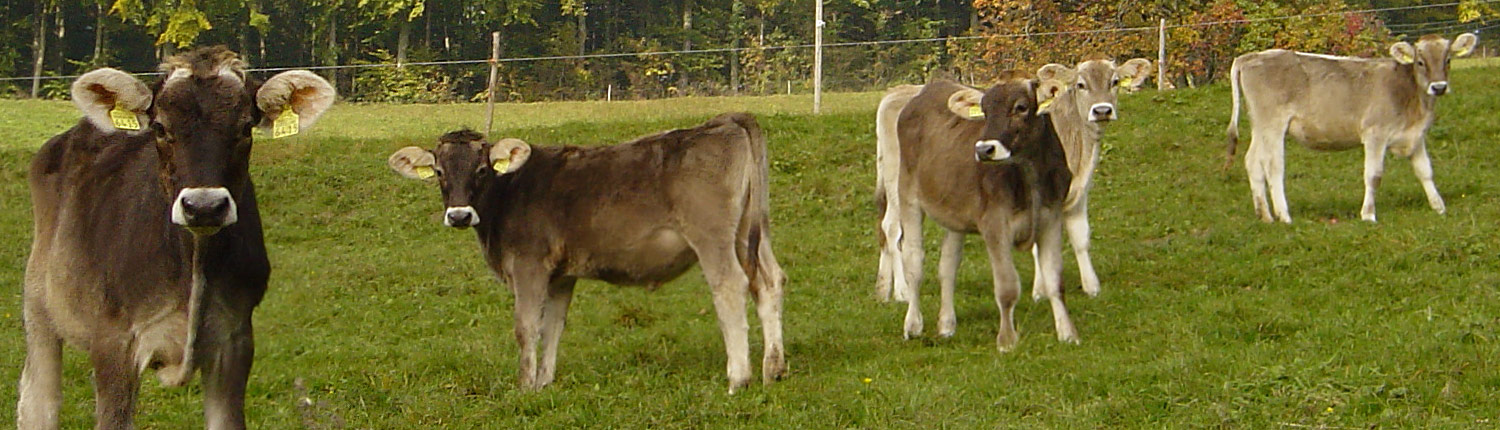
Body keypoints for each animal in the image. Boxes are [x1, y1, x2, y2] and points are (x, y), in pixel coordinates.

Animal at [18, 45, 334, 428]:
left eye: (246, 127)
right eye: (159, 127)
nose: (204, 206)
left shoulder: (236, 339)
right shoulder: (113, 341)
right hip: (38, 302)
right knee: (39, 402)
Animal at [387, 113, 786, 395]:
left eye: (482, 168)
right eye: (439, 171)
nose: (459, 215)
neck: (509, 192)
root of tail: (722, 122)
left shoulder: (529, 266)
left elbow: (526, 327)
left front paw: (524, 387)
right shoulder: (561, 275)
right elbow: (552, 326)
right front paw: (544, 383)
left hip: (712, 237)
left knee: (730, 287)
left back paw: (739, 378)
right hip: (752, 233)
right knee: (769, 282)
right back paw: (773, 369)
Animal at [876, 58, 1152, 302]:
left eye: (1114, 81)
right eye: (1080, 84)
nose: (1102, 110)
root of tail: (896, 94)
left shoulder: (1079, 192)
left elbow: (1081, 237)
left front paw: (1091, 287)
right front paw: (1040, 291)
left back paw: (883, 290)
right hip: (897, 182)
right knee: (893, 229)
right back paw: (901, 291)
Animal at [882, 74, 1074, 350]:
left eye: (1020, 107)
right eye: (984, 111)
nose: (984, 150)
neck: (1030, 175)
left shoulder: (1051, 218)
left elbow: (1055, 281)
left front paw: (1068, 333)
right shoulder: (994, 224)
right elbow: (1007, 287)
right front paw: (1007, 341)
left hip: (953, 211)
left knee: (948, 265)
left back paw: (946, 325)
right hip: (906, 193)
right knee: (914, 262)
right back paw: (913, 324)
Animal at [1230, 32, 1476, 221]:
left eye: (1448, 60)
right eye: (1420, 62)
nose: (1439, 87)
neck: (1414, 101)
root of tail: (1251, 57)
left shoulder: (1415, 136)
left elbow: (1425, 171)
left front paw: (1439, 207)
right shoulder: (1375, 134)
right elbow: (1374, 175)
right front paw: (1368, 214)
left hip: (1259, 126)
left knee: (1252, 162)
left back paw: (1265, 216)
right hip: (1272, 125)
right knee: (1273, 166)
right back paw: (1284, 216)